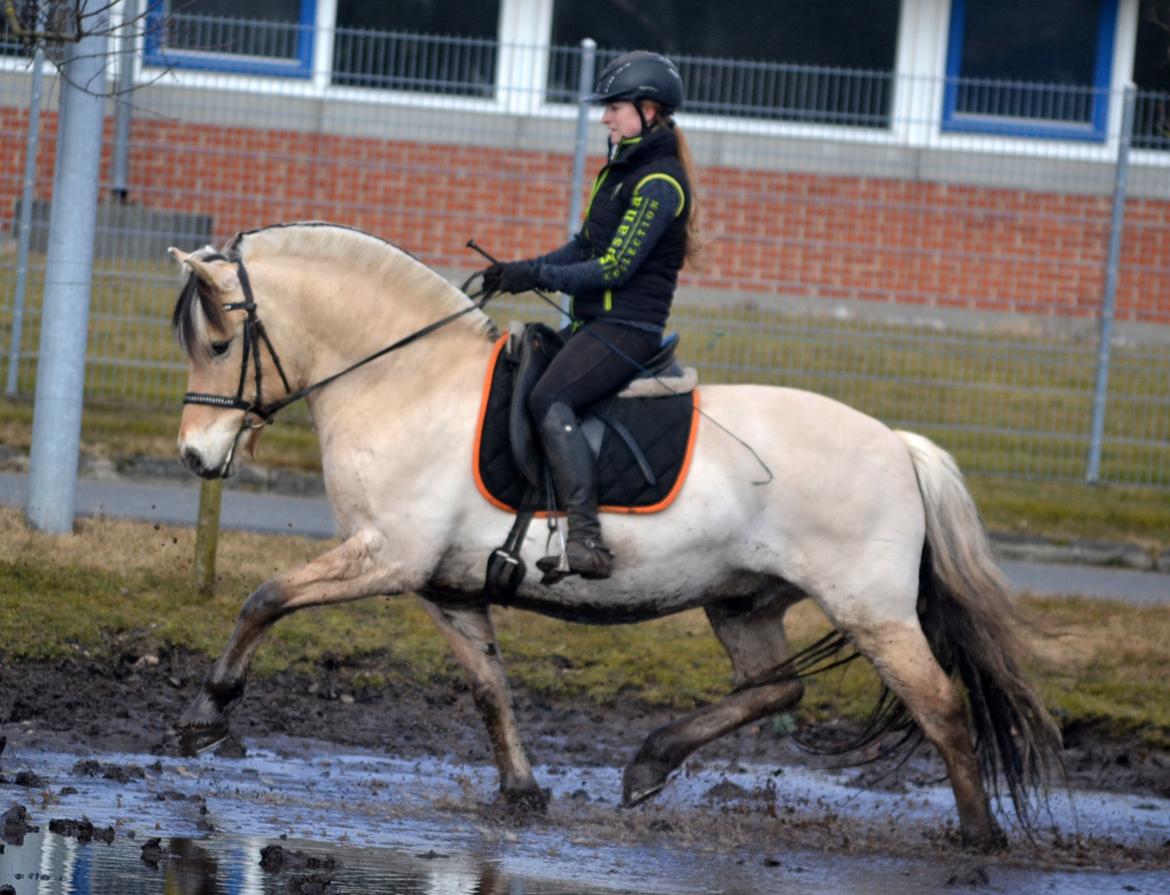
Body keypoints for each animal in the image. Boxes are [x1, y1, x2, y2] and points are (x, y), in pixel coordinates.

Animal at [170, 219, 1062, 847]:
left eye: (219, 341)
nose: (195, 456)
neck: (406, 382)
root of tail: (900, 446)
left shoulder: (387, 558)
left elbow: (264, 598)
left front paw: (208, 715)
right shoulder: (442, 585)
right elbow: (490, 688)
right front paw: (523, 792)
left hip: (870, 607)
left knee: (940, 704)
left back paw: (979, 836)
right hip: (744, 602)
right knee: (776, 688)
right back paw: (650, 762)